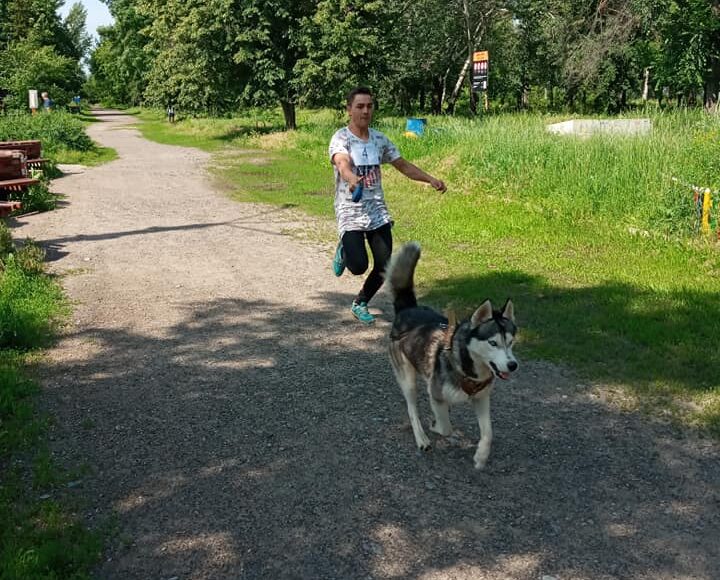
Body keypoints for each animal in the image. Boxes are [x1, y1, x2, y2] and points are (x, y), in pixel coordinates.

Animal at [388, 242, 516, 468]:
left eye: (511, 342)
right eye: (493, 343)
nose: (512, 365)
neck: (466, 366)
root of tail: (407, 309)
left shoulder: (482, 399)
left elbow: (488, 433)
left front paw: (480, 456)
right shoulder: (436, 394)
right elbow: (445, 428)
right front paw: (435, 425)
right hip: (407, 379)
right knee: (412, 410)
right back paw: (422, 438)